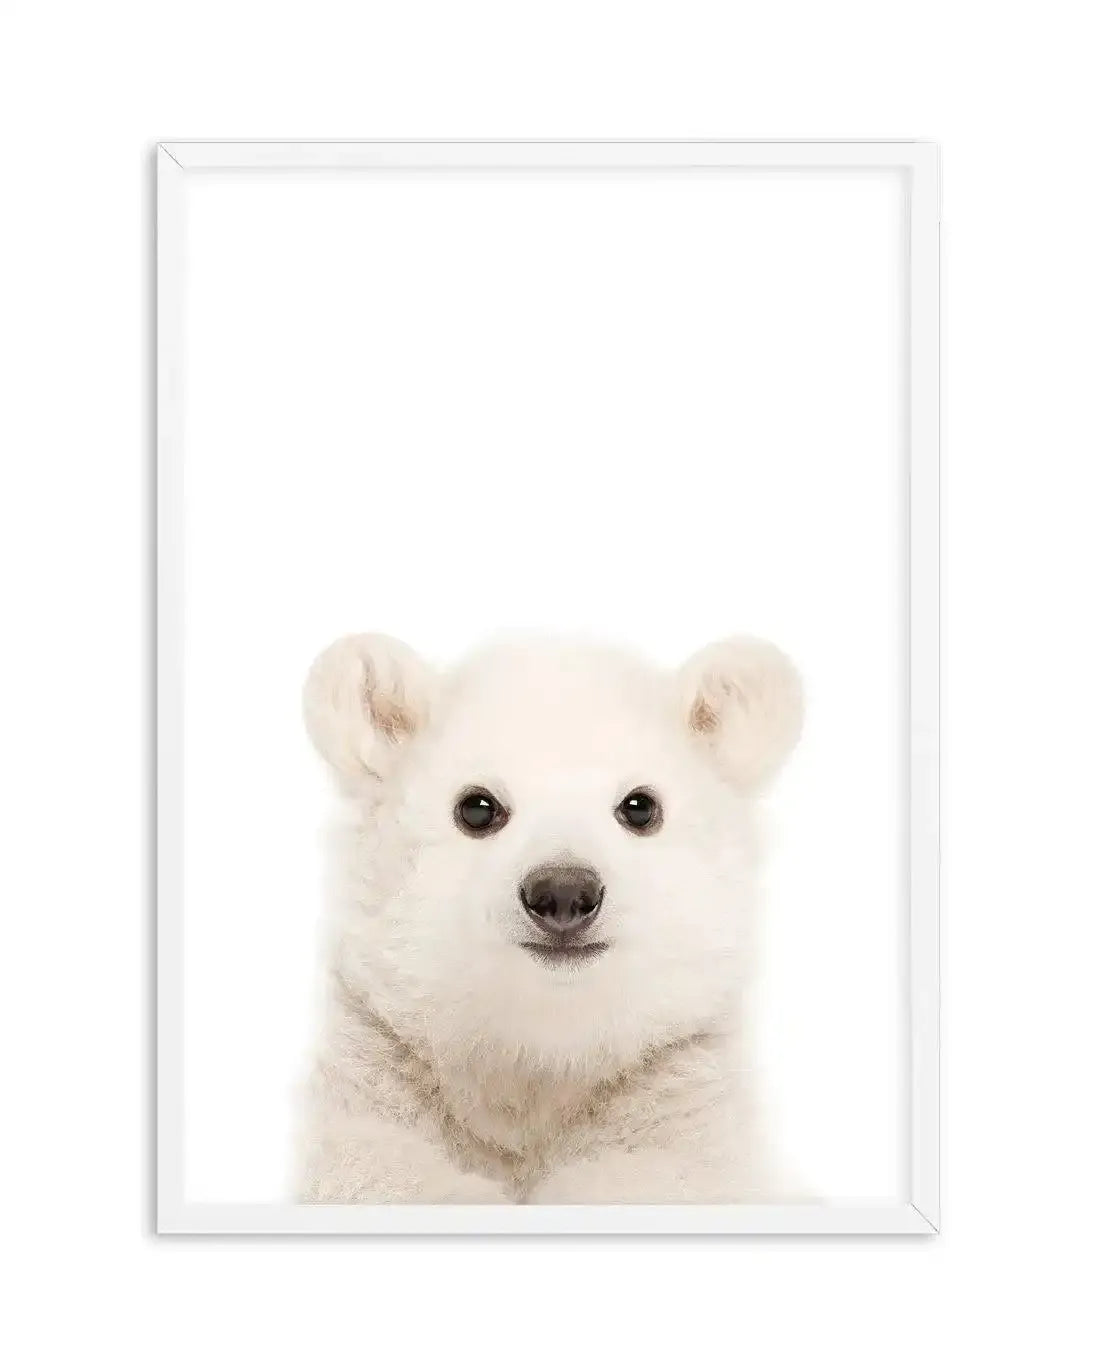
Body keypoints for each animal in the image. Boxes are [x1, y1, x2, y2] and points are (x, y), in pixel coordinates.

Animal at [296, 631, 803, 1204]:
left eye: (640, 806)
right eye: (476, 806)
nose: (563, 893)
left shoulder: (674, 1084)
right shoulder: (384, 1066)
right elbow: (375, 1163)